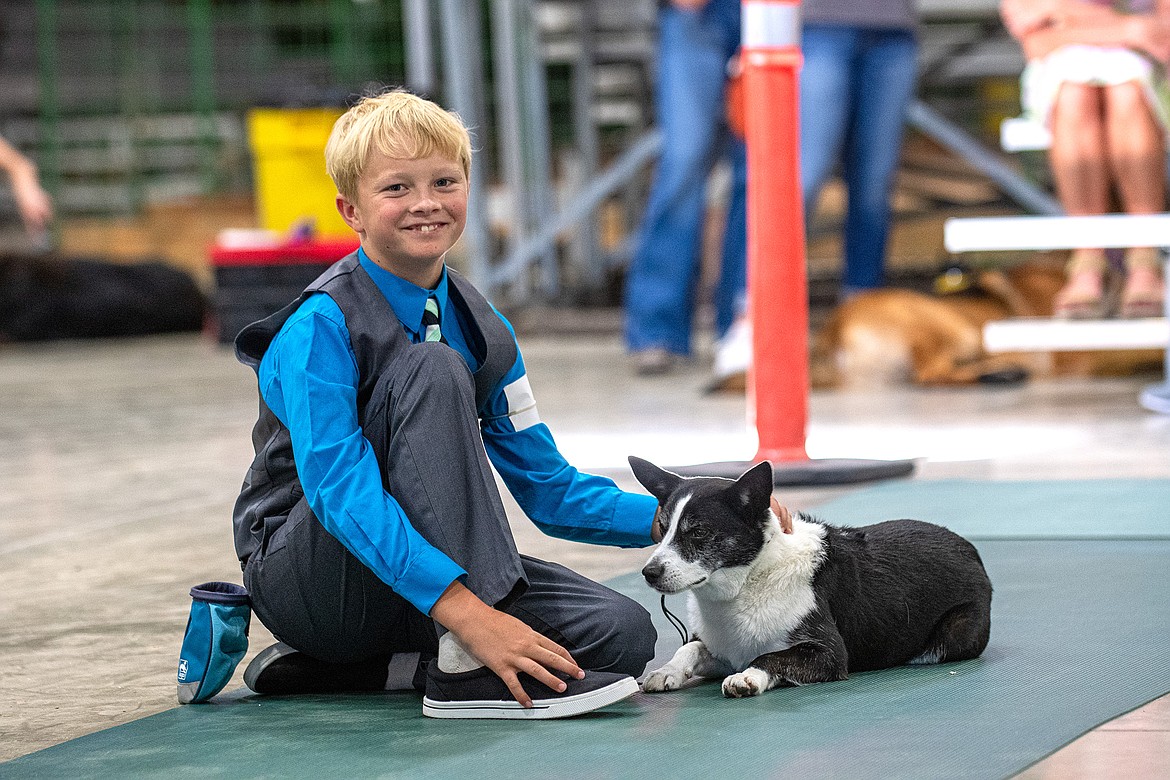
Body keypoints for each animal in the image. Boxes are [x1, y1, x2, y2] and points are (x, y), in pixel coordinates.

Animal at [636, 453, 992, 696]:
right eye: (663, 529)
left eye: (698, 532)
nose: (648, 573)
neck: (749, 581)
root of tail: (968, 546)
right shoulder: (725, 649)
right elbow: (689, 648)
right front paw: (667, 671)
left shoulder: (827, 653)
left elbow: (770, 656)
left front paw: (748, 677)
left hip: (955, 636)